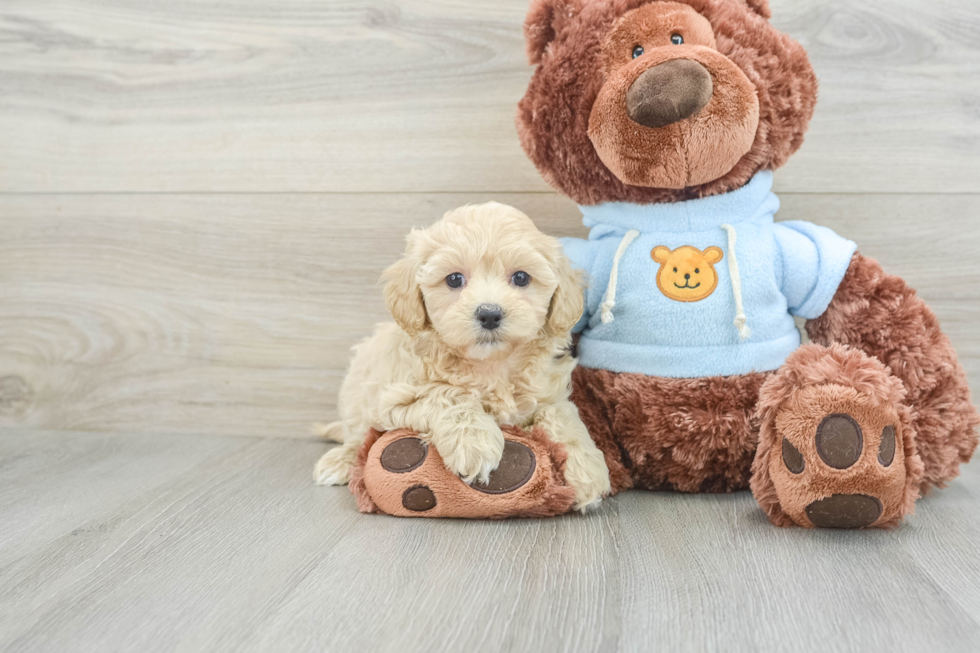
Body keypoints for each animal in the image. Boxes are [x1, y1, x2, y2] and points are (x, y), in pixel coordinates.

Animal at [314, 202, 608, 510]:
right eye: (454, 279)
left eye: (521, 277)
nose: (489, 313)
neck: (491, 365)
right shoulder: (394, 397)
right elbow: (447, 394)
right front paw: (475, 443)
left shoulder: (547, 392)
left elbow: (562, 414)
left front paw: (587, 467)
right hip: (357, 393)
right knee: (357, 436)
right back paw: (338, 461)